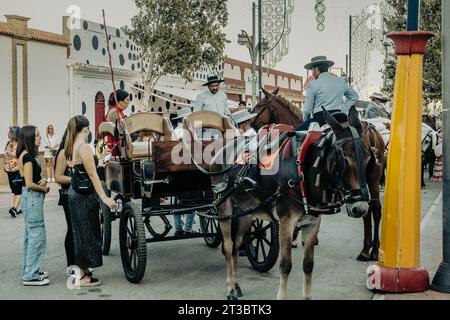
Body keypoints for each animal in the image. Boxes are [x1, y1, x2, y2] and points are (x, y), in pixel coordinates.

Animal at [211, 106, 376, 298]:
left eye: (368, 158)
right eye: (344, 159)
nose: (360, 207)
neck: (305, 169)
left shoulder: (312, 223)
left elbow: (308, 265)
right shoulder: (286, 222)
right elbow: (285, 266)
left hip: (247, 213)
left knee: (236, 246)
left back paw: (236, 284)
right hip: (224, 208)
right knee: (228, 247)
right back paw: (230, 288)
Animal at [251, 88, 384, 262]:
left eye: (260, 105)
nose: (252, 124)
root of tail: (370, 129)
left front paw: (296, 237)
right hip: (372, 179)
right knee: (373, 209)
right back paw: (370, 250)